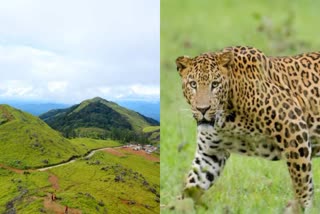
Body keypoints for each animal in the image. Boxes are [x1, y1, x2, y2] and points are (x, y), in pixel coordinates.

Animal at [175, 45, 320, 211]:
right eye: (193, 84)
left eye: (215, 84)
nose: (203, 109)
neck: (227, 119)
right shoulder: (210, 154)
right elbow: (192, 183)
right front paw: (176, 207)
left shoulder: (294, 129)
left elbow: (301, 178)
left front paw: (301, 208)